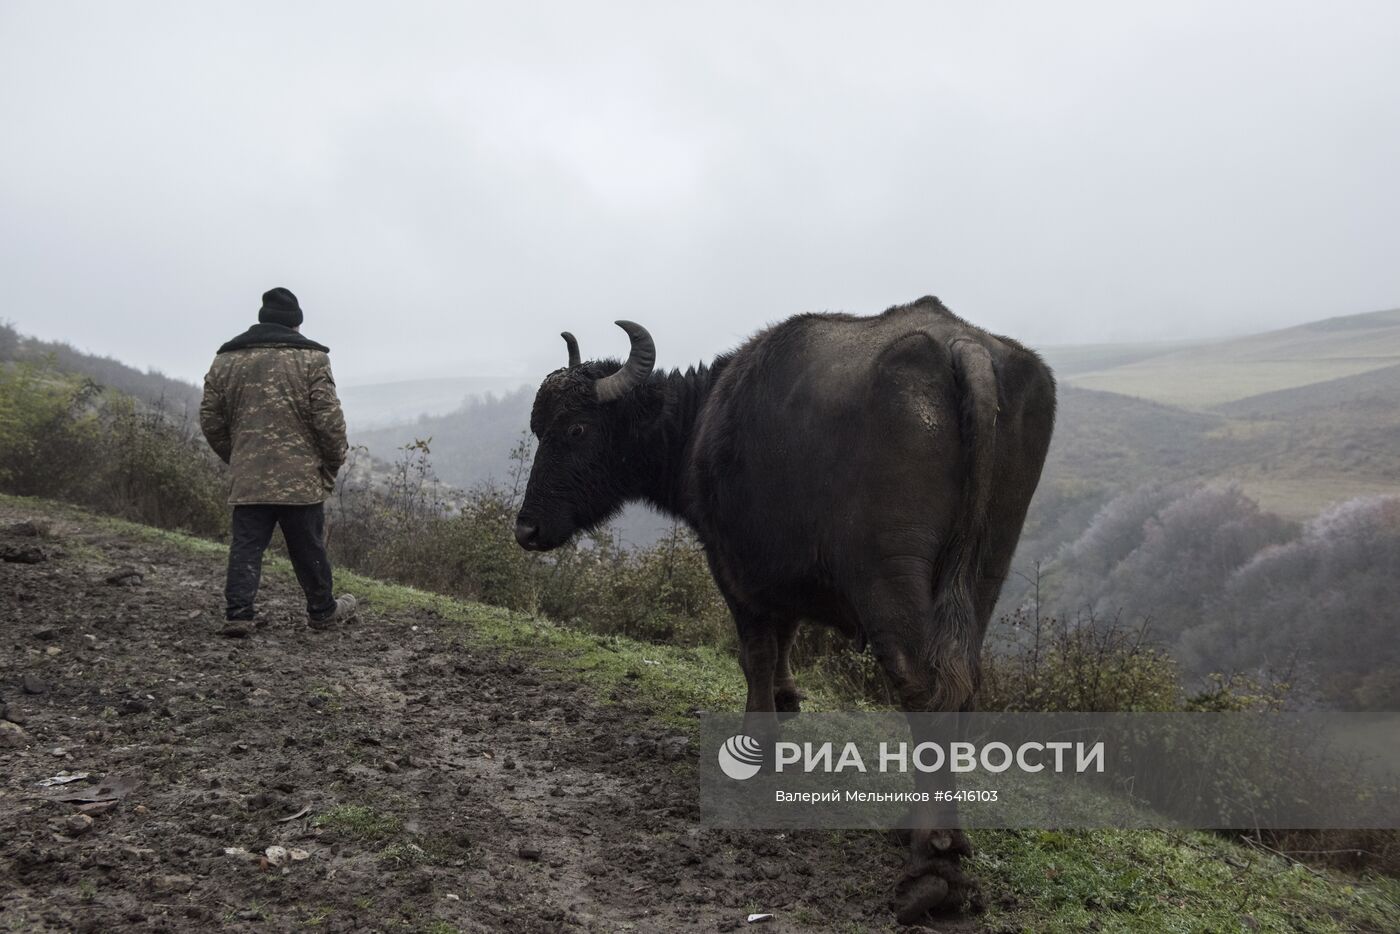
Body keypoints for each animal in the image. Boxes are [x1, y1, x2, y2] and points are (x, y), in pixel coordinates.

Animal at [515, 298, 1052, 918]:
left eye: (576, 429)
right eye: (537, 429)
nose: (526, 529)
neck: (702, 421)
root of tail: (963, 347)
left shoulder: (733, 566)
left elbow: (757, 652)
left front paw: (758, 740)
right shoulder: (784, 572)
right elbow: (786, 640)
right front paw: (787, 702)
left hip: (890, 577)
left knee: (924, 686)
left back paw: (933, 858)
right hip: (984, 572)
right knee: (963, 684)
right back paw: (934, 828)